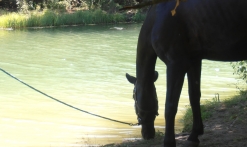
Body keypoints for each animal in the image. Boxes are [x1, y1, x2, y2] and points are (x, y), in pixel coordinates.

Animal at [125, 0, 247, 146]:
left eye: (134, 97)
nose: (147, 135)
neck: (157, 17)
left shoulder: (176, 64)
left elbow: (170, 105)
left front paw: (169, 141)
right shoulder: (194, 62)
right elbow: (194, 96)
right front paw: (195, 134)